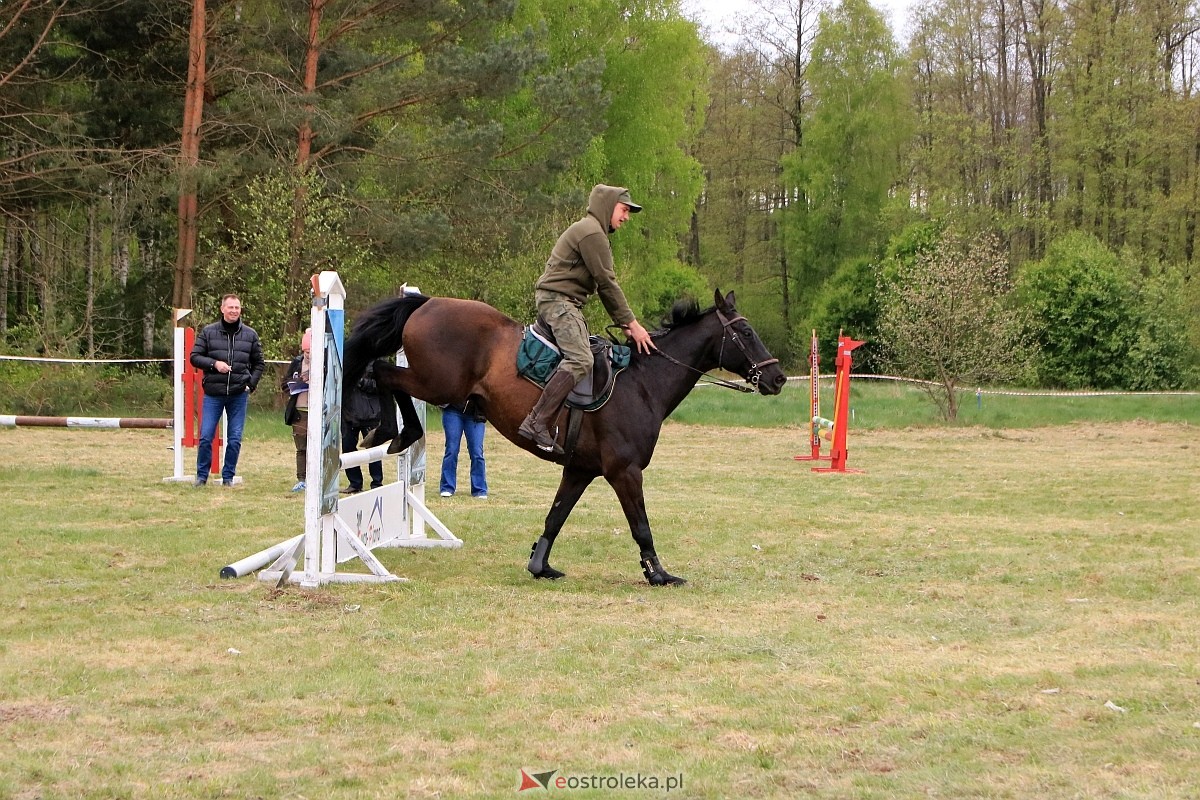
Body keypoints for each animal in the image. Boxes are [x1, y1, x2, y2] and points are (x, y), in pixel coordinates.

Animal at [343, 289, 787, 587]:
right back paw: (395, 432)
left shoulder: (579, 470)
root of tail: (429, 302)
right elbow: (640, 525)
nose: (778, 378)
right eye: (746, 332)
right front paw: (658, 574)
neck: (643, 383)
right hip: (438, 384)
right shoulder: (625, 472)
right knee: (382, 371)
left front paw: (540, 567)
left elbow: (555, 517)